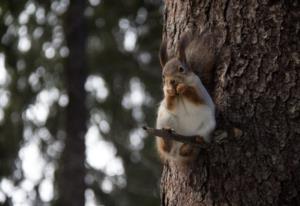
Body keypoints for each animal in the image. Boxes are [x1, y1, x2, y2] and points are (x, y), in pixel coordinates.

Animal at [157, 31, 216, 163]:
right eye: (163, 76)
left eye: (181, 69)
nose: (171, 81)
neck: (180, 96)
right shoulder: (168, 103)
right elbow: (170, 104)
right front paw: (170, 91)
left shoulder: (200, 91)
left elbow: (194, 97)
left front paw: (182, 88)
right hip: (166, 118)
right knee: (165, 147)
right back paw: (167, 137)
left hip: (207, 124)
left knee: (190, 148)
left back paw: (191, 144)